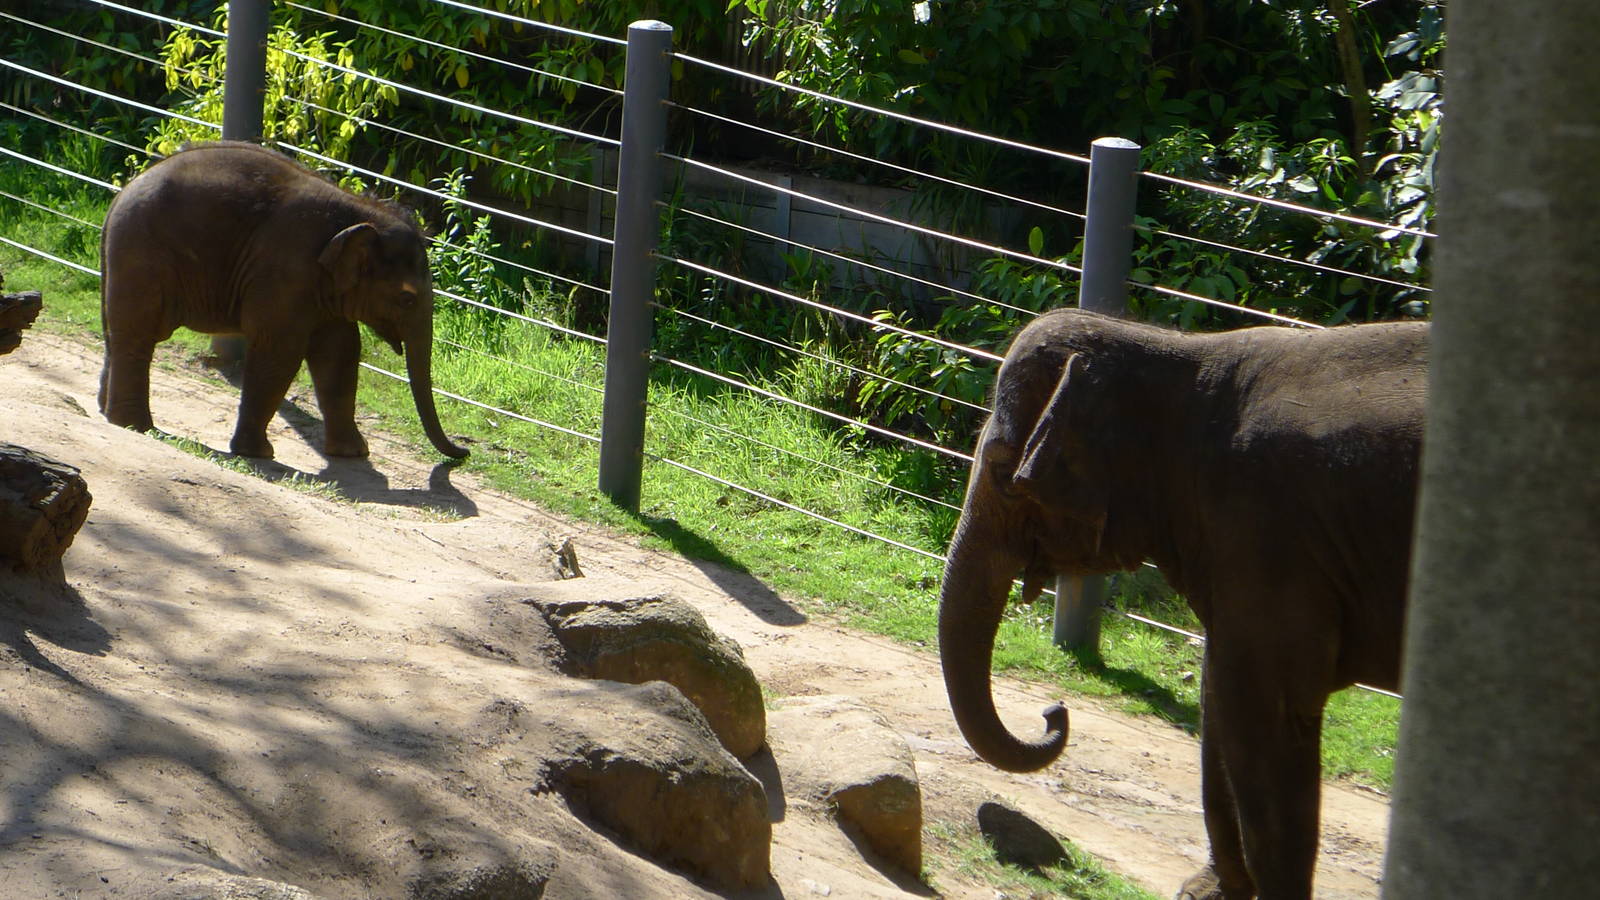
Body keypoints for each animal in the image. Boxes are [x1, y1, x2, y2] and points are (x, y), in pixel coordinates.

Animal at [98, 141, 468, 461]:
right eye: (407, 300)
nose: (464, 451)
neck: (358, 212)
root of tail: (122, 194)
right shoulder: (286, 271)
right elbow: (281, 350)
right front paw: (258, 453)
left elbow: (340, 352)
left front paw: (353, 453)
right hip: (143, 255)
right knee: (139, 333)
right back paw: (134, 425)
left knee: (116, 331)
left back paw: (107, 411)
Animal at [938, 309, 1427, 899]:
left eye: (1002, 472)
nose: (1053, 711)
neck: (1181, 356)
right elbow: (1219, 695)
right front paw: (1210, 890)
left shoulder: (1266, 534)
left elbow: (1263, 712)